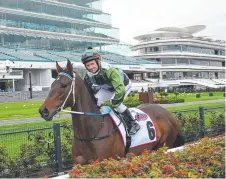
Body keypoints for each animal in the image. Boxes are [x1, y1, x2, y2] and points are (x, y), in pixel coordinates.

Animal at [38, 60, 184, 165]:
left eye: (63, 85)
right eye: (51, 85)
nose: (43, 111)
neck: (91, 134)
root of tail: (169, 114)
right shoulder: (79, 165)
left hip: (163, 146)